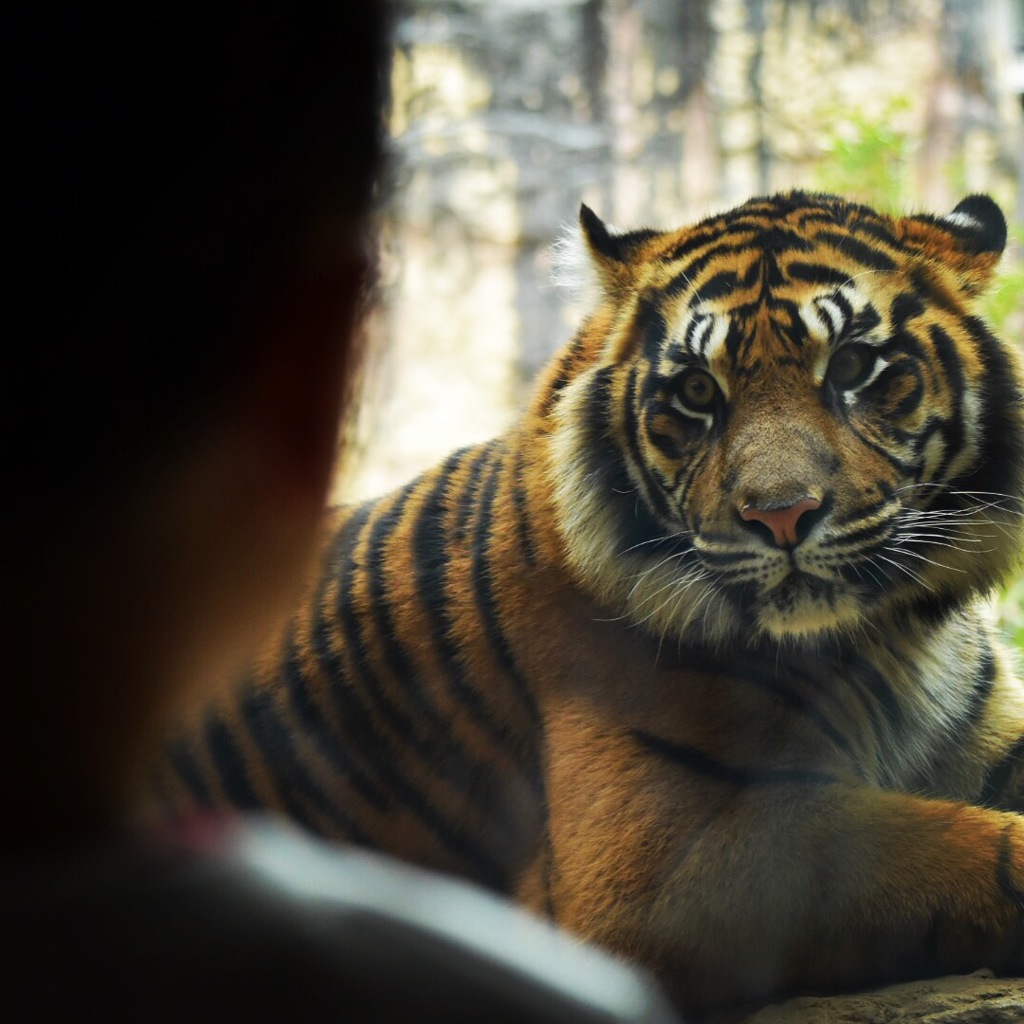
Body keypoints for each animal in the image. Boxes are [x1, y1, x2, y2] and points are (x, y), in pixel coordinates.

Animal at [155, 190, 1024, 1015]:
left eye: (851, 368)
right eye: (697, 391)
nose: (781, 515)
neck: (887, 638)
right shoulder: (653, 863)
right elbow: (936, 847)